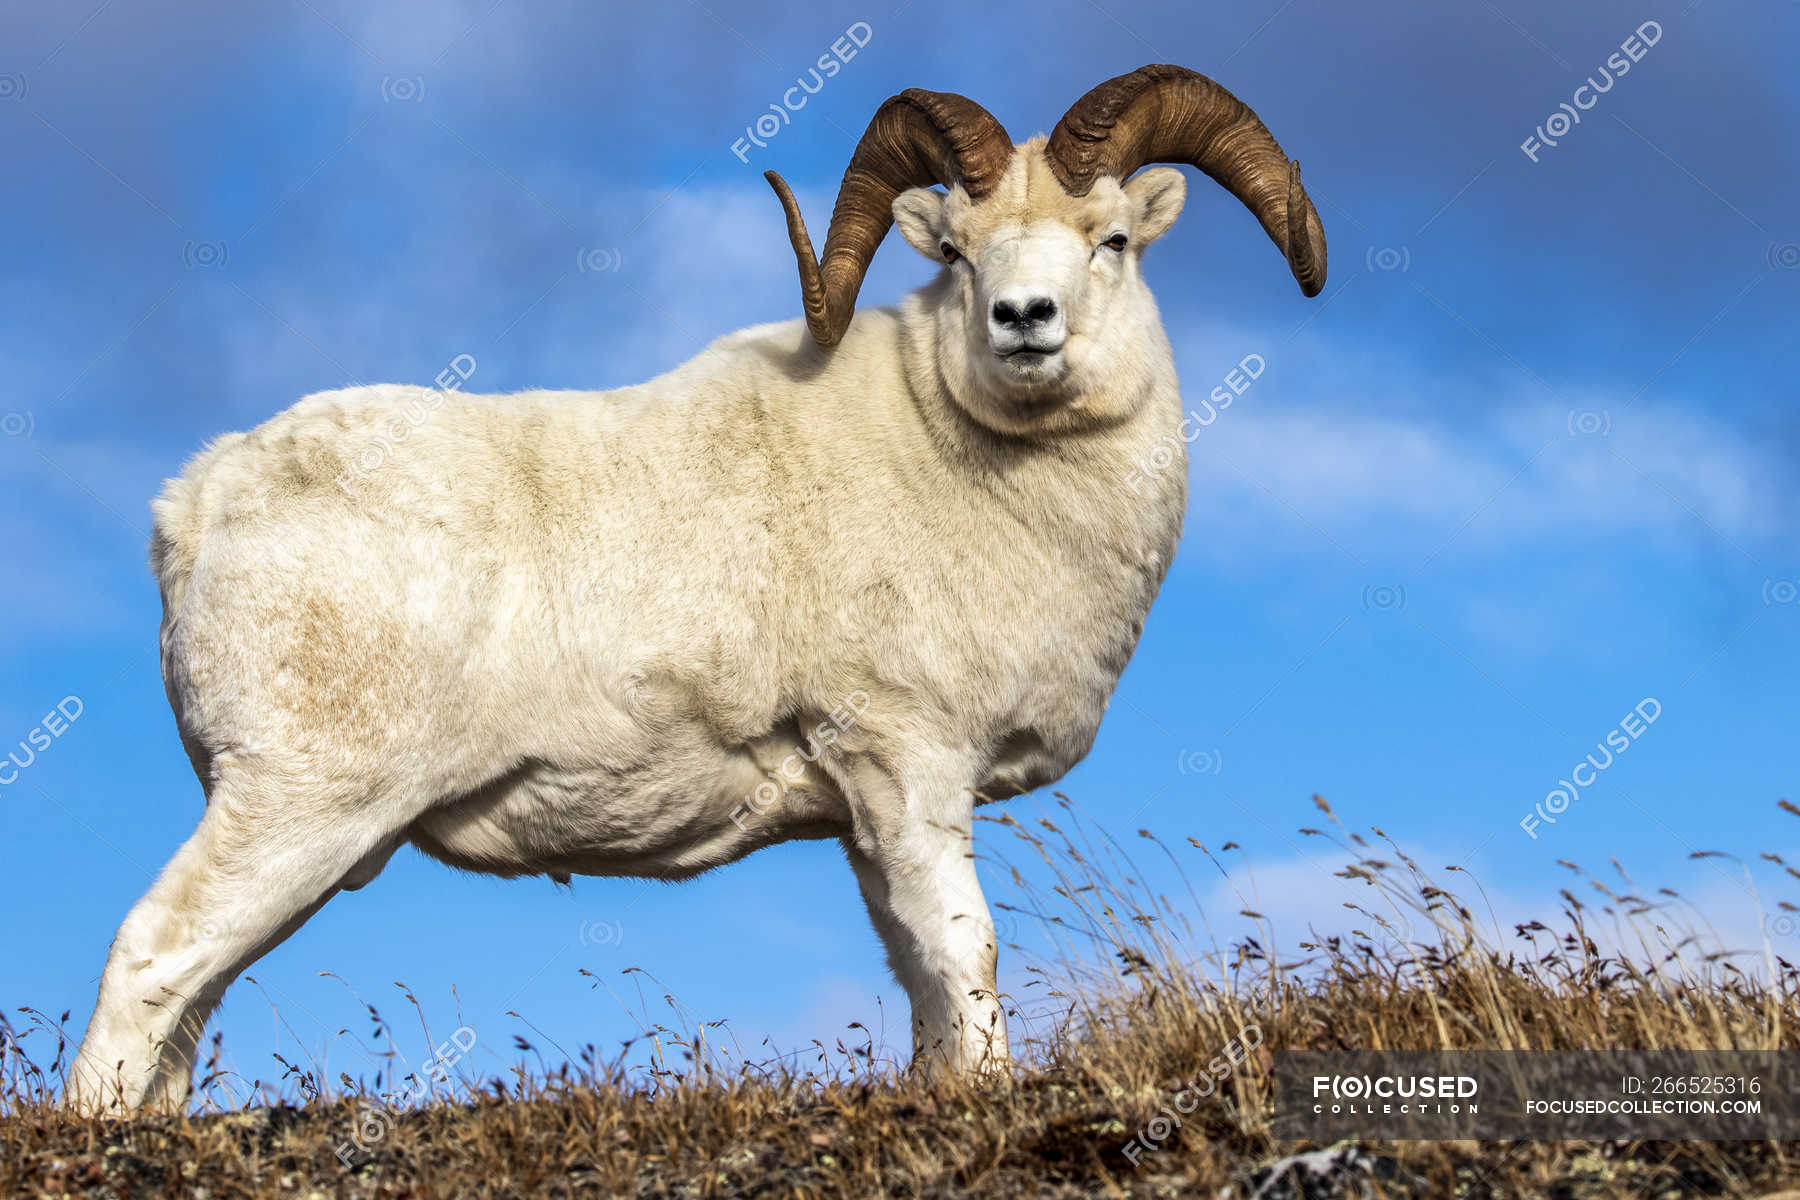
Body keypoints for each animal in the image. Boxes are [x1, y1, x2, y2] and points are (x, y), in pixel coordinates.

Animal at [65, 63, 1326, 1113]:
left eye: (1109, 238)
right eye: (958, 255)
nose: (1026, 322)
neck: (958, 459)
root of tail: (196, 503)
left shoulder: (867, 810)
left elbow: (915, 963)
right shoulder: (907, 755)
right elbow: (963, 945)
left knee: (190, 1002)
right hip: (301, 803)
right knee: (155, 956)